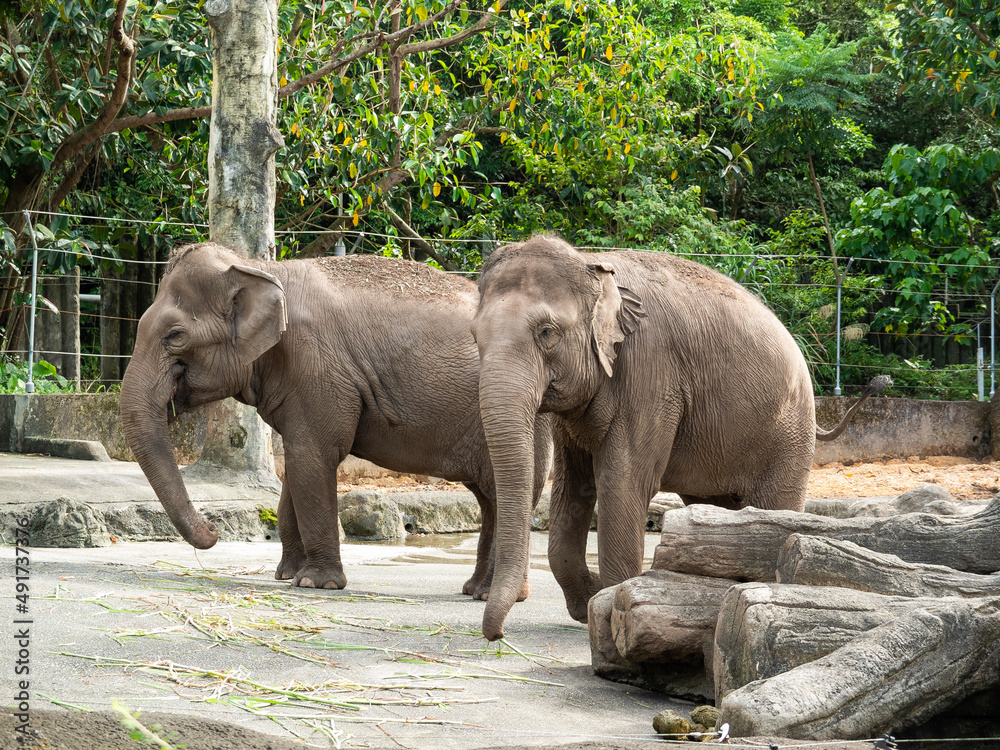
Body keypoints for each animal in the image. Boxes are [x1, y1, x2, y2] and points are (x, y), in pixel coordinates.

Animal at [120, 241, 552, 607]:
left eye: (175, 336)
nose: (213, 530)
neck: (260, 267)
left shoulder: (316, 366)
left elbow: (312, 458)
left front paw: (317, 584)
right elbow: (297, 465)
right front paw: (287, 576)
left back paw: (498, 595)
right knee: (492, 498)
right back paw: (478, 590)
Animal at [470, 234, 889, 640]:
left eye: (547, 332)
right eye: (474, 338)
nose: (498, 635)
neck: (591, 263)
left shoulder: (651, 374)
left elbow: (623, 482)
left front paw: (606, 610)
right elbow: (573, 487)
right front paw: (590, 600)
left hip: (788, 432)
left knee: (774, 506)